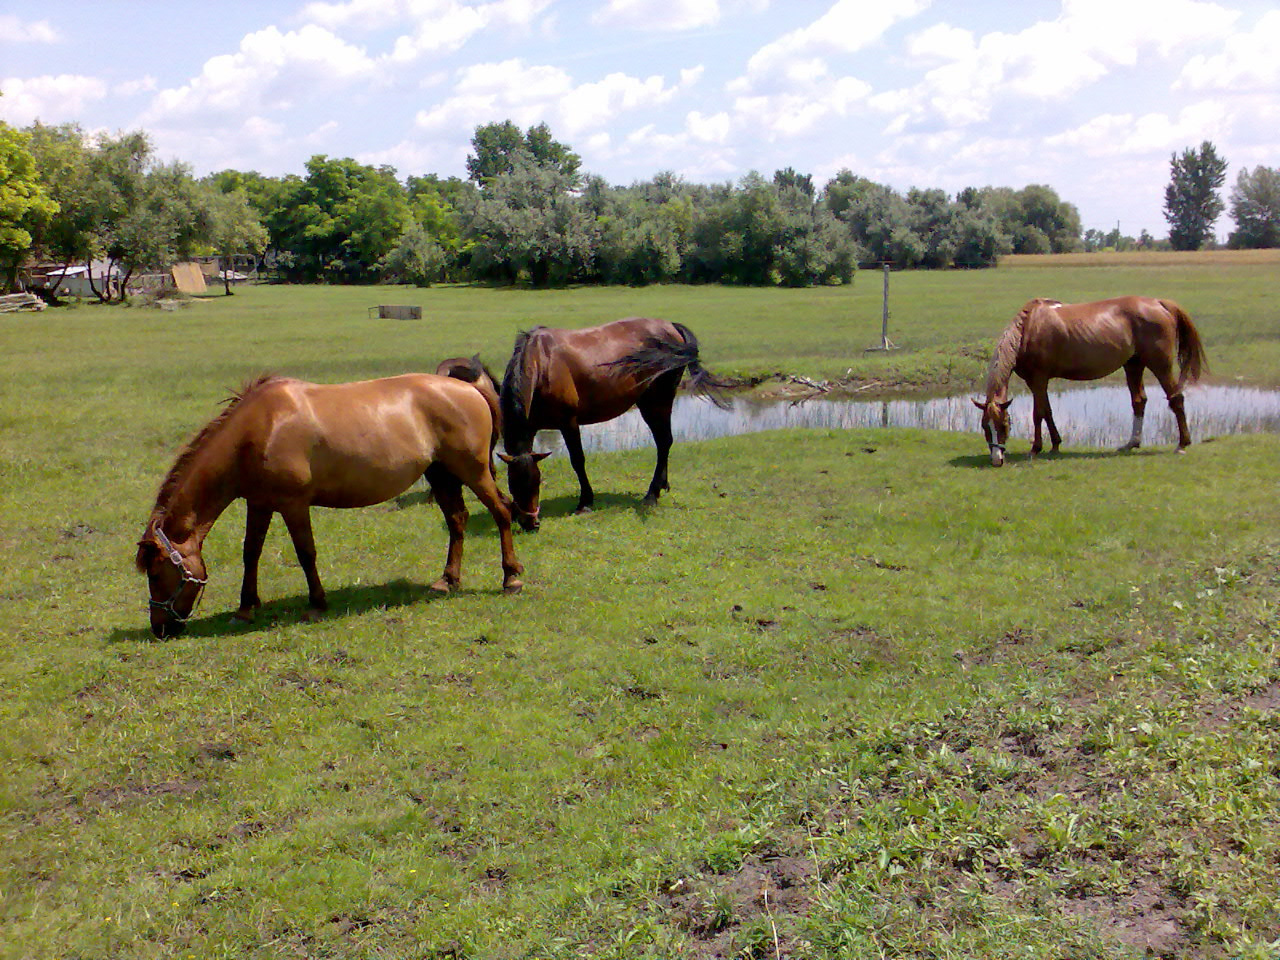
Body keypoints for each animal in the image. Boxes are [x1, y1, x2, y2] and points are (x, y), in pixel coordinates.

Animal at [137, 373, 522, 640]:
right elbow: (251, 553)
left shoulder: (294, 505)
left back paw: (511, 578)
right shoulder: (259, 504)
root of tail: (471, 389)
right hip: (442, 475)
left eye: (155, 573)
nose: (160, 628)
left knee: (502, 512)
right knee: (458, 520)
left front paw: (317, 604)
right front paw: (246, 608)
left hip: (472, 471)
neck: (259, 429)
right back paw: (447, 580)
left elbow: (306, 553)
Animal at [494, 317, 727, 529]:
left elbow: (578, 460)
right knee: (664, 442)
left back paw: (652, 494)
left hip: (657, 401)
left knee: (664, 442)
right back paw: (662, 485)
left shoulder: (569, 423)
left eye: (537, 482)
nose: (530, 524)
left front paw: (585, 502)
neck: (542, 363)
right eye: (512, 484)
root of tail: (670, 326)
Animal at [972, 299, 1203, 468]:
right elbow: (1048, 412)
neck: (1028, 330)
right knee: (1139, 402)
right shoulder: (1037, 381)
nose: (996, 460)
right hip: (1133, 365)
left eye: (1004, 425)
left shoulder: (1038, 379)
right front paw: (1055, 444)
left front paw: (1035, 449)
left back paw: (1182, 444)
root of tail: (1159, 303)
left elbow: (1038, 414)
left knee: (1176, 399)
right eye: (985, 426)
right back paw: (1131, 443)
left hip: (1159, 365)